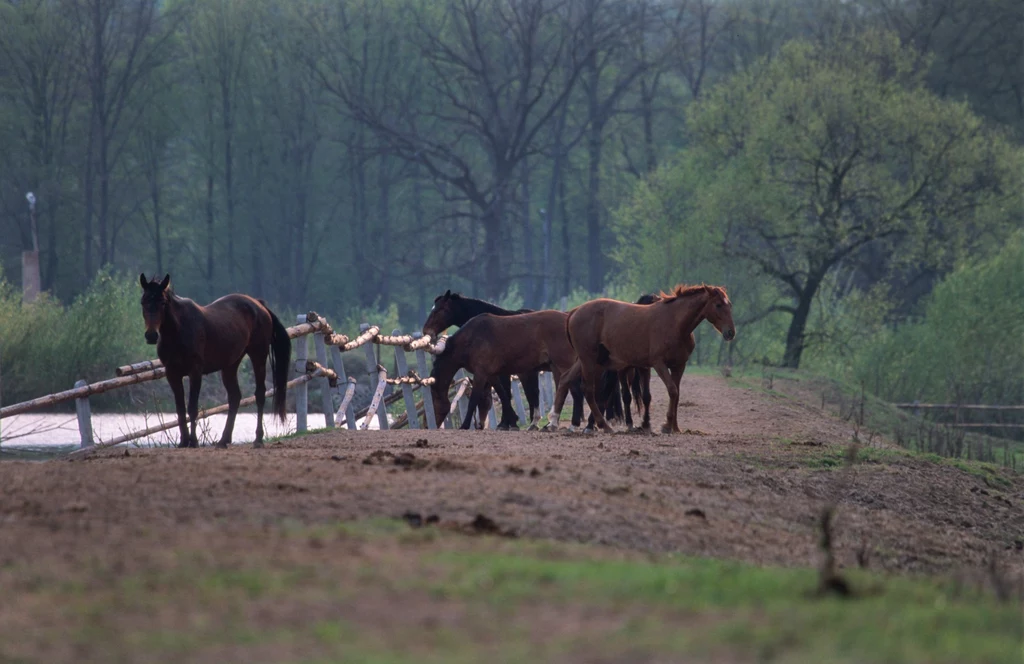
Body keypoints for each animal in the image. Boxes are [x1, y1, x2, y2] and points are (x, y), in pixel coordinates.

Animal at [138, 272, 290, 448]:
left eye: (162, 302)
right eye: (143, 301)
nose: (151, 335)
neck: (178, 330)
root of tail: (259, 305)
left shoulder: (195, 371)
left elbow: (192, 408)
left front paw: (194, 442)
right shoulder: (172, 373)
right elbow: (180, 409)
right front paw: (183, 442)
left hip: (258, 355)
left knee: (259, 394)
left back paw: (258, 439)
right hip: (231, 365)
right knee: (235, 397)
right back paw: (224, 440)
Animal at [428, 311, 585, 430]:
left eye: (435, 401)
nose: (436, 423)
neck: (471, 338)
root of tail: (569, 319)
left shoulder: (480, 374)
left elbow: (474, 398)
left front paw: (465, 425)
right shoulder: (491, 375)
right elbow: (503, 395)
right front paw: (512, 421)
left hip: (563, 365)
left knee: (575, 391)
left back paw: (572, 425)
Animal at [552, 284, 737, 436]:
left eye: (729, 304)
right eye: (718, 305)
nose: (730, 332)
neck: (675, 323)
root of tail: (575, 311)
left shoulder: (679, 366)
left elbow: (676, 393)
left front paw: (675, 427)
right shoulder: (658, 364)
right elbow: (672, 390)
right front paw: (666, 425)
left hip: (588, 360)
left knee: (565, 380)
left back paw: (554, 421)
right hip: (589, 360)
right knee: (588, 389)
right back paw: (603, 425)